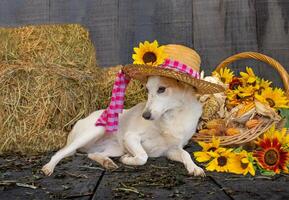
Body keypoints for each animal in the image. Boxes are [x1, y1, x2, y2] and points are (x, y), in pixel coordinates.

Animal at [42, 75, 205, 177]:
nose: (145, 115)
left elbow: (186, 154)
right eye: (147, 90)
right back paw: (49, 167)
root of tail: (81, 119)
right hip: (96, 130)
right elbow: (143, 156)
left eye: (162, 89)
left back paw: (107, 162)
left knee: (92, 154)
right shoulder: (130, 137)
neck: (172, 116)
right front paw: (128, 159)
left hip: (115, 148)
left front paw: (195, 168)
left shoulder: (171, 151)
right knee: (61, 152)